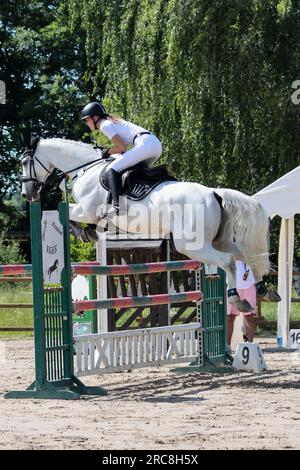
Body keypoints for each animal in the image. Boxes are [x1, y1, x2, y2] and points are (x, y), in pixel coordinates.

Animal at [20, 136, 278, 312]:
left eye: (24, 161)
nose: (27, 194)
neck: (85, 168)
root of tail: (214, 192)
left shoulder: (86, 209)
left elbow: (67, 212)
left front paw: (83, 232)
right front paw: (89, 233)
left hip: (192, 245)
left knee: (228, 262)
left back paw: (237, 299)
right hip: (219, 240)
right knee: (244, 256)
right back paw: (263, 291)